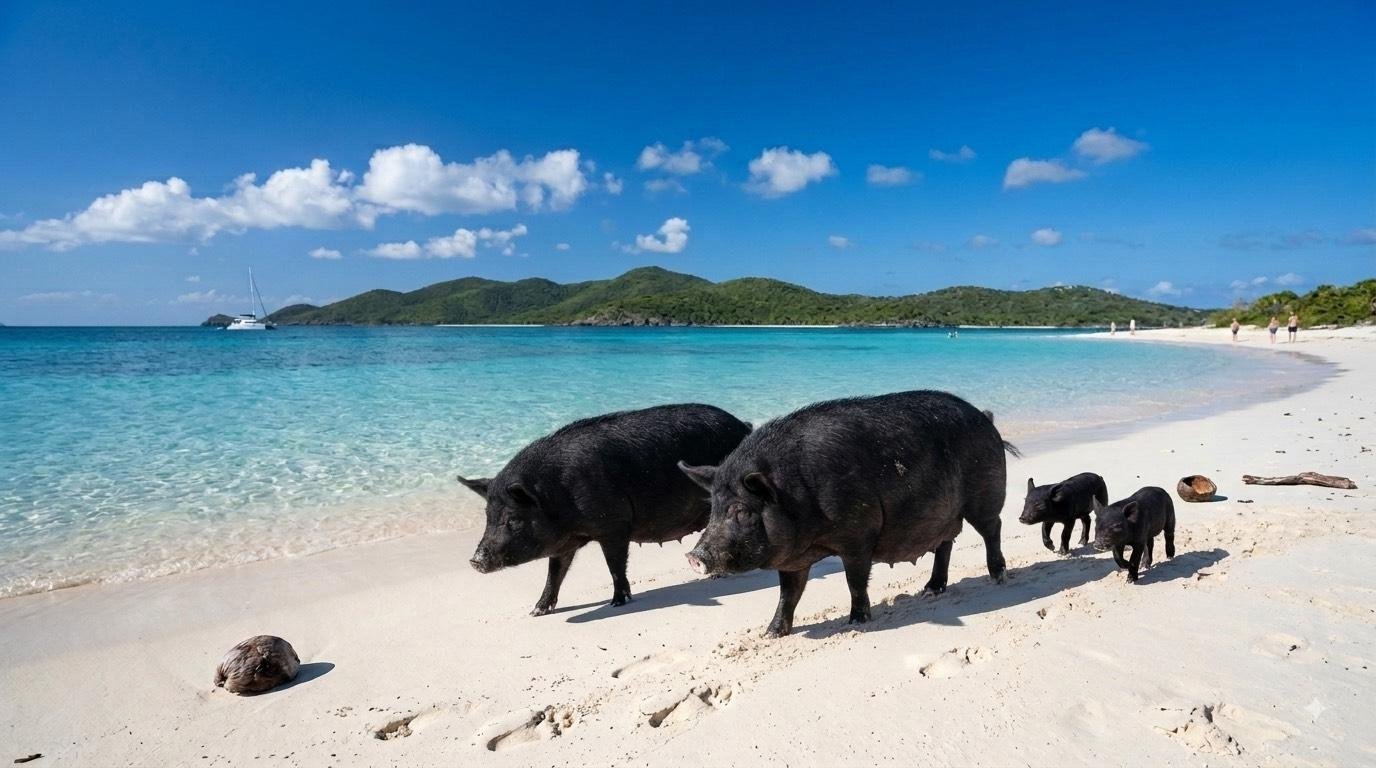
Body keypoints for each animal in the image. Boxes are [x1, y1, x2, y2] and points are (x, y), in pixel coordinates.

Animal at [457, 404, 750, 616]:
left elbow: (615, 565)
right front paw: (537, 611)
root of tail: (743, 427)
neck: (558, 497)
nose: (474, 560)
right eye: (487, 516)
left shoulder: (614, 525)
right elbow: (555, 572)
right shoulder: (565, 542)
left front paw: (618, 602)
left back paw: (721, 575)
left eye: (512, 519)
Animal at [678, 390, 1017, 638]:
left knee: (992, 528)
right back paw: (930, 590)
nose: (695, 556)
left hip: (985, 492)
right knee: (945, 542)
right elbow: (788, 593)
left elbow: (854, 579)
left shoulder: (858, 533)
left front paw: (856, 622)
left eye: (741, 510)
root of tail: (986, 418)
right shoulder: (793, 558)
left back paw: (999, 577)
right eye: (713, 508)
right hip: (944, 514)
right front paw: (771, 634)